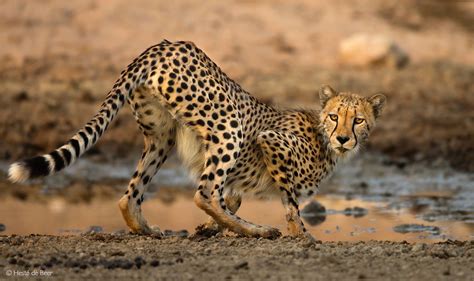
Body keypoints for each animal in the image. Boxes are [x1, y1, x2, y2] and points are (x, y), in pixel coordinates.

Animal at [7, 40, 386, 238]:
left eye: (358, 120)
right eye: (335, 116)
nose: (343, 139)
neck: (324, 139)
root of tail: (162, 46)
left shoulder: (238, 184)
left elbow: (232, 199)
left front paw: (208, 230)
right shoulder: (271, 140)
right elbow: (290, 203)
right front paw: (302, 237)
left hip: (161, 137)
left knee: (130, 195)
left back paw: (147, 229)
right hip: (228, 126)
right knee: (204, 193)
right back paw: (257, 231)